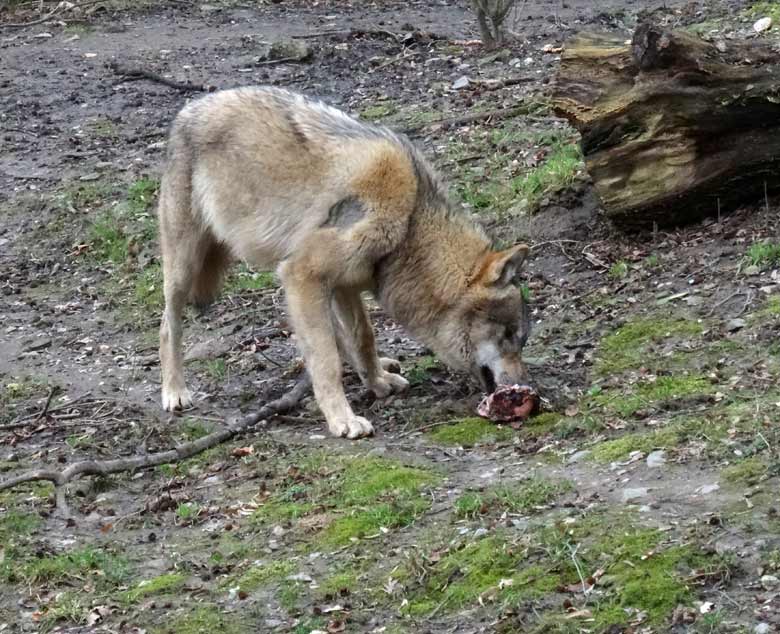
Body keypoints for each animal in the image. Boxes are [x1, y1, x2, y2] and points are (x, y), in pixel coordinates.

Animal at [155, 86, 532, 436]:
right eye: (508, 336)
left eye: (520, 339)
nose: (526, 386)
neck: (408, 224)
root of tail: (190, 108)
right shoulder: (301, 274)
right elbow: (326, 361)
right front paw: (343, 420)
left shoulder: (345, 284)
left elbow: (363, 337)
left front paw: (377, 382)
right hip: (184, 268)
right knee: (167, 325)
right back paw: (174, 392)